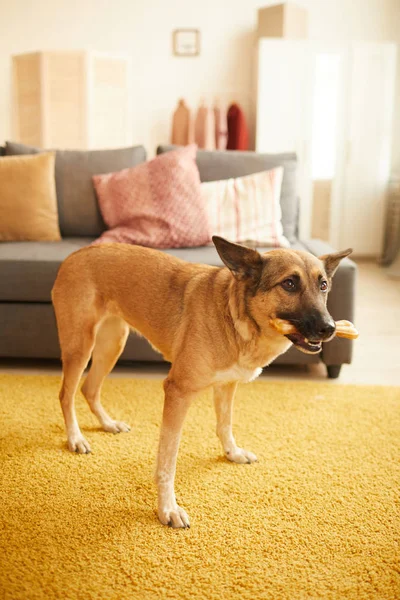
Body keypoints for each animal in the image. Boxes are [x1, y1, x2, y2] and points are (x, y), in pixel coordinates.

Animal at [51, 237, 352, 528]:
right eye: (289, 283)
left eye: (323, 285)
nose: (329, 328)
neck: (234, 316)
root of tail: (77, 253)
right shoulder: (177, 392)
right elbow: (168, 459)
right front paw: (167, 508)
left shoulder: (226, 385)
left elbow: (224, 425)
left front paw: (232, 453)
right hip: (81, 346)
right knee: (66, 394)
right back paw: (75, 438)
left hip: (112, 343)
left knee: (89, 389)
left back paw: (108, 424)